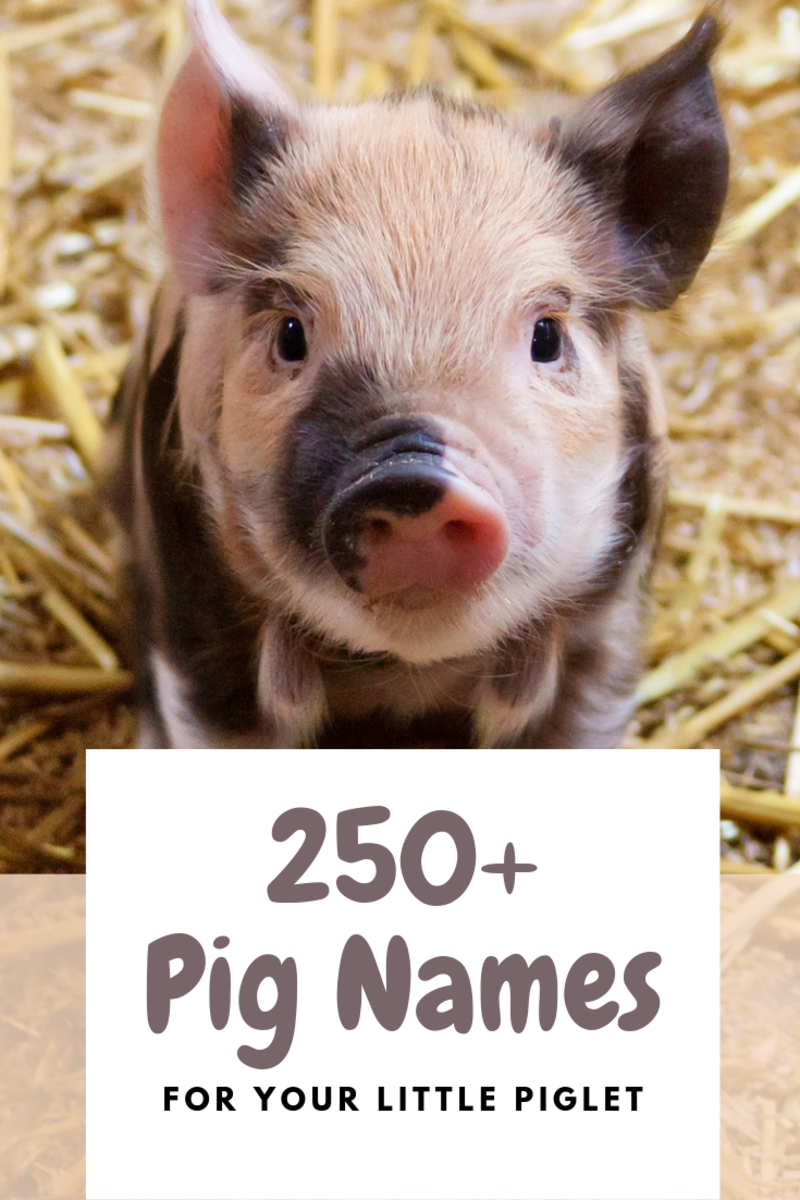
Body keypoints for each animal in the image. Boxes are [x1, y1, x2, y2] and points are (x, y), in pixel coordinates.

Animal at [107, 0, 729, 749]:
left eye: (547, 337)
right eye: (291, 335)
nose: (412, 476)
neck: (407, 679)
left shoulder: (608, 626)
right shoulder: (194, 622)